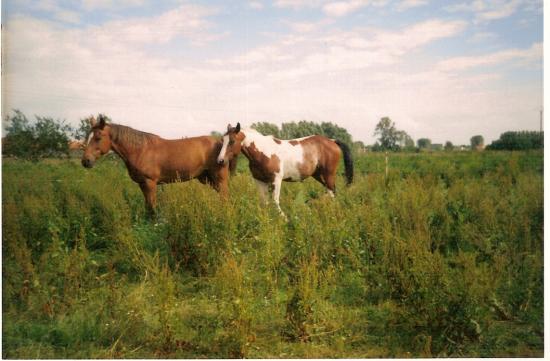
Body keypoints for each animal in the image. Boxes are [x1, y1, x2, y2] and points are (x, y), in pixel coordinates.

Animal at [82, 114, 237, 214]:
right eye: (88, 136)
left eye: (98, 137)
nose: (85, 161)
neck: (140, 150)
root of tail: (221, 145)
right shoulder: (142, 184)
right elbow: (147, 207)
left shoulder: (150, 183)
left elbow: (152, 208)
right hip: (208, 179)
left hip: (219, 179)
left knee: (226, 198)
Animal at [218, 122, 356, 215]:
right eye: (222, 141)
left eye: (231, 141)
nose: (220, 161)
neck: (264, 153)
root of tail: (332, 141)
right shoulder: (260, 181)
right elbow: (264, 202)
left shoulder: (276, 180)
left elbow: (275, 200)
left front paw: (284, 218)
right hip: (318, 175)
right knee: (331, 191)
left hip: (328, 174)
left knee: (332, 192)